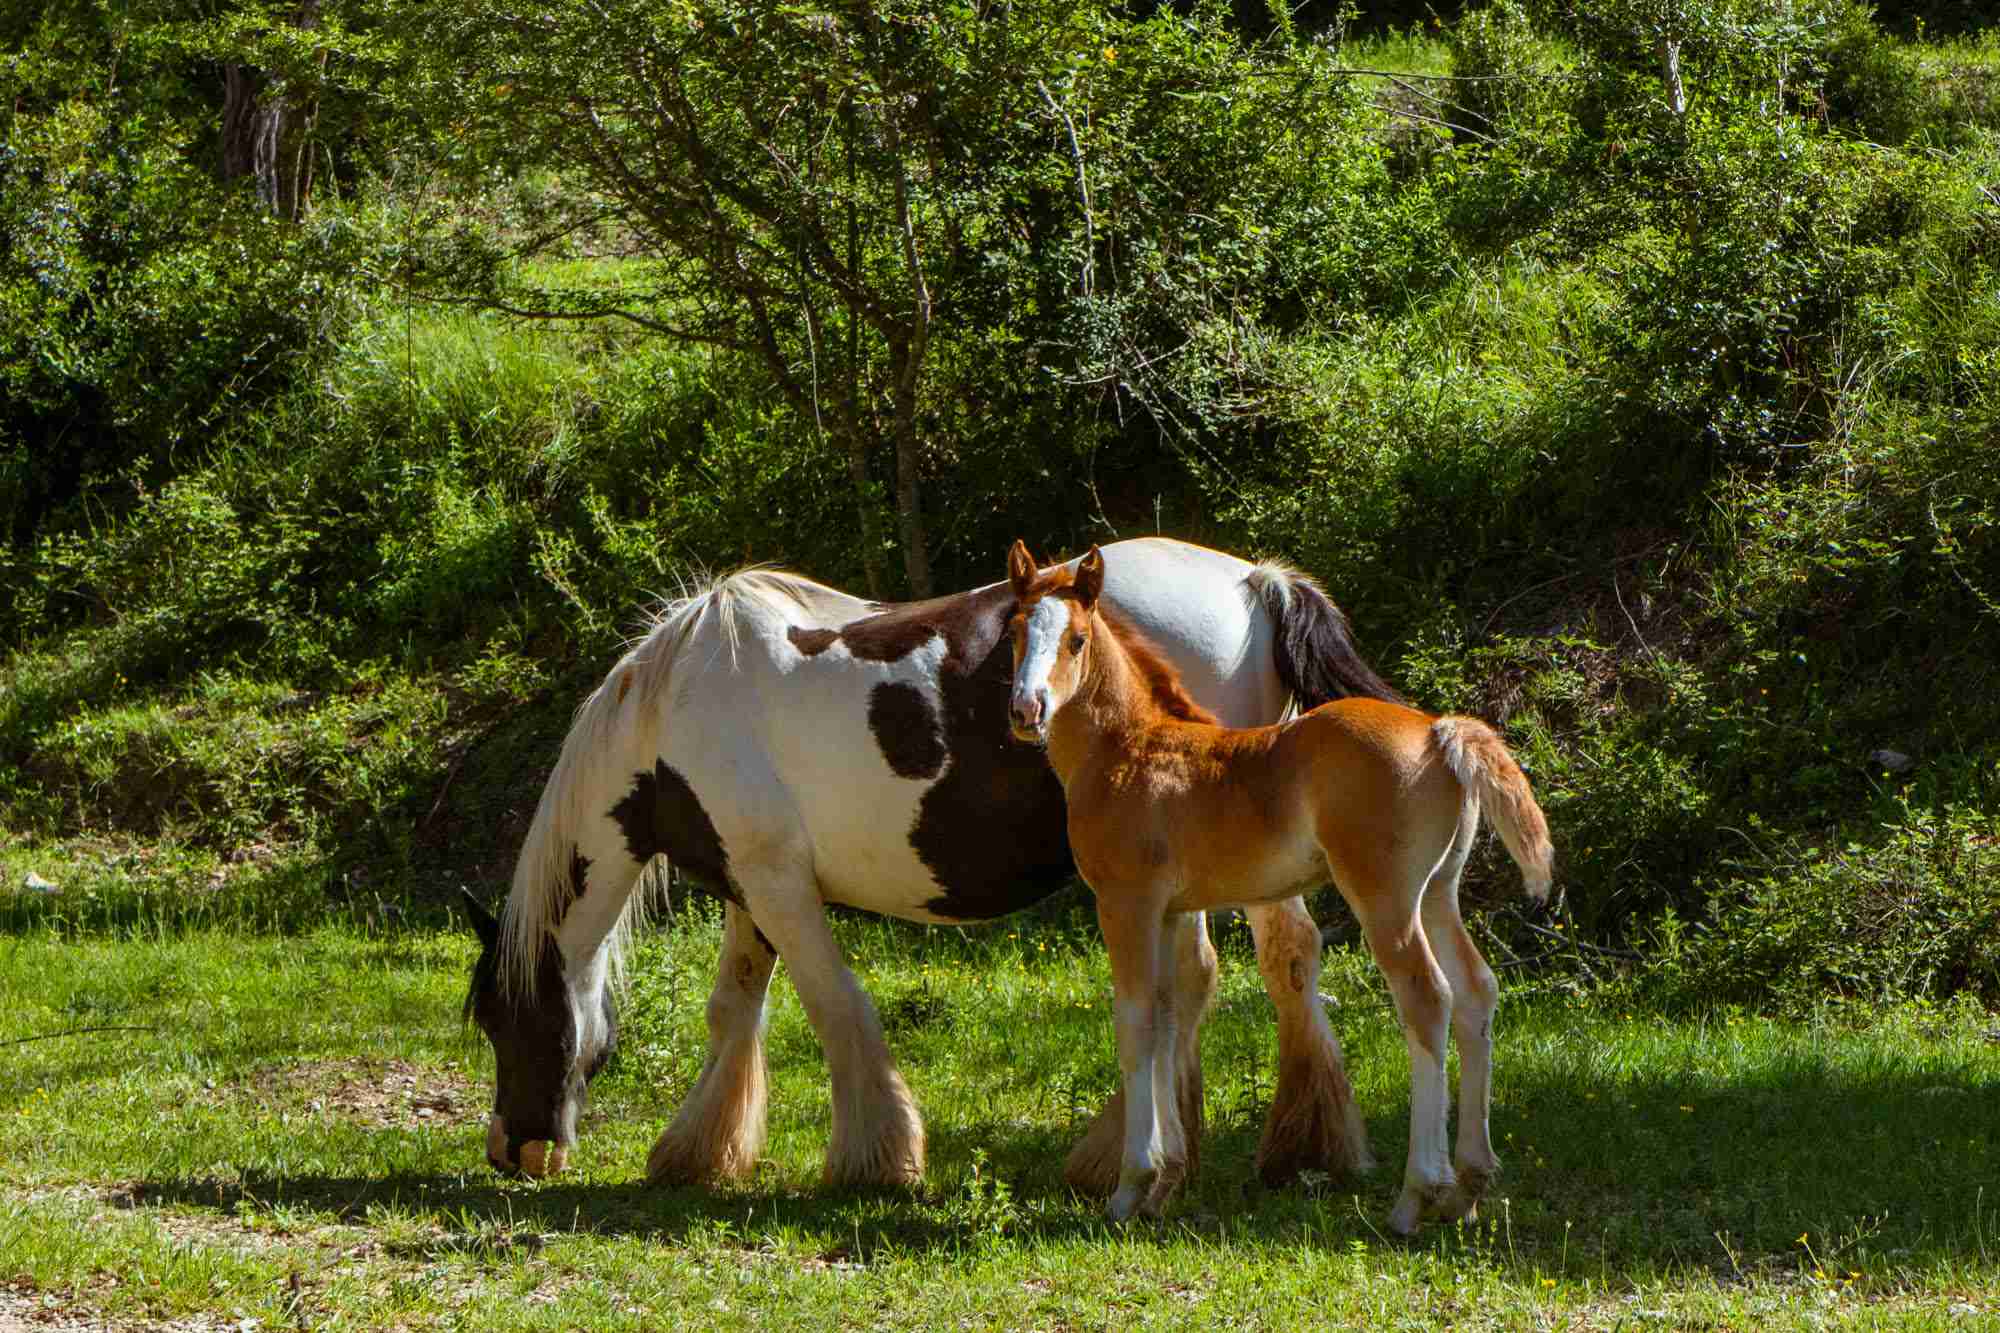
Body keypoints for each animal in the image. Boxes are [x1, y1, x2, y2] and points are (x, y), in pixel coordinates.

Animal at [462, 536, 1405, 1191]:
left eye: (503, 1020)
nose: (514, 1148)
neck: (680, 706)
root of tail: (1254, 582)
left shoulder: (780, 889)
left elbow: (834, 1004)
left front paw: (876, 1158)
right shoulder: (751, 884)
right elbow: (734, 1007)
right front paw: (701, 1150)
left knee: (1201, 975)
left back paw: (1124, 1153)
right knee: (1282, 961)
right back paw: (1298, 1143)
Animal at [1003, 541, 1554, 1233]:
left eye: (1076, 640)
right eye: (1016, 630)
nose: (1027, 711)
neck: (1127, 747)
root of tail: (1438, 732)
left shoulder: (1125, 903)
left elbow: (1133, 1024)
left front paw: (1129, 1189)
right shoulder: (1170, 910)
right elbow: (1167, 1018)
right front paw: (1165, 1182)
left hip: (1385, 899)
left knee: (1429, 1000)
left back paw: (1416, 1196)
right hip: (1436, 892)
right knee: (1477, 991)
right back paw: (1469, 1189)